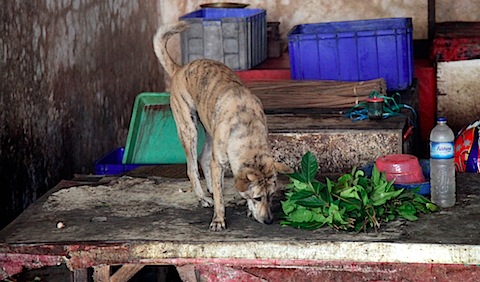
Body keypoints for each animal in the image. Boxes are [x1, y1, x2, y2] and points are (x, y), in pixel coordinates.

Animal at [153, 21, 292, 229]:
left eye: (271, 195)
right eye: (258, 198)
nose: (269, 221)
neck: (247, 129)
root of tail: (179, 69)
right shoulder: (218, 162)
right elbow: (220, 200)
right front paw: (218, 219)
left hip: (209, 130)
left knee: (203, 158)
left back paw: (213, 186)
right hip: (189, 129)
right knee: (192, 168)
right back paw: (203, 197)